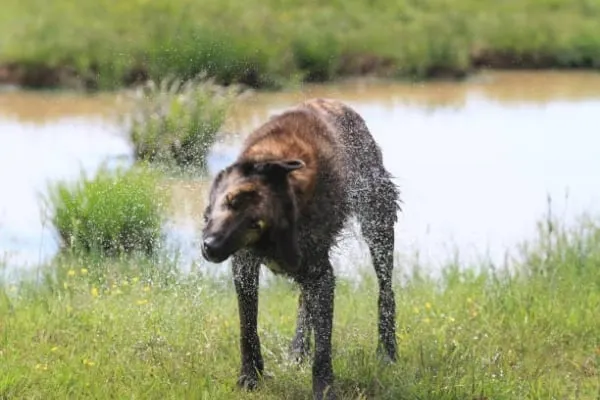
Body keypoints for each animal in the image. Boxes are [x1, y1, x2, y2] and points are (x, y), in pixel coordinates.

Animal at [199, 97, 400, 400]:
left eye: (256, 224)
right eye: (231, 201)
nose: (210, 248)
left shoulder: (321, 275)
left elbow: (324, 346)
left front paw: (324, 388)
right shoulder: (244, 265)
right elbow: (248, 326)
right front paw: (250, 376)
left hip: (377, 222)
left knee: (386, 292)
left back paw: (387, 351)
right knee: (304, 303)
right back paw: (297, 351)